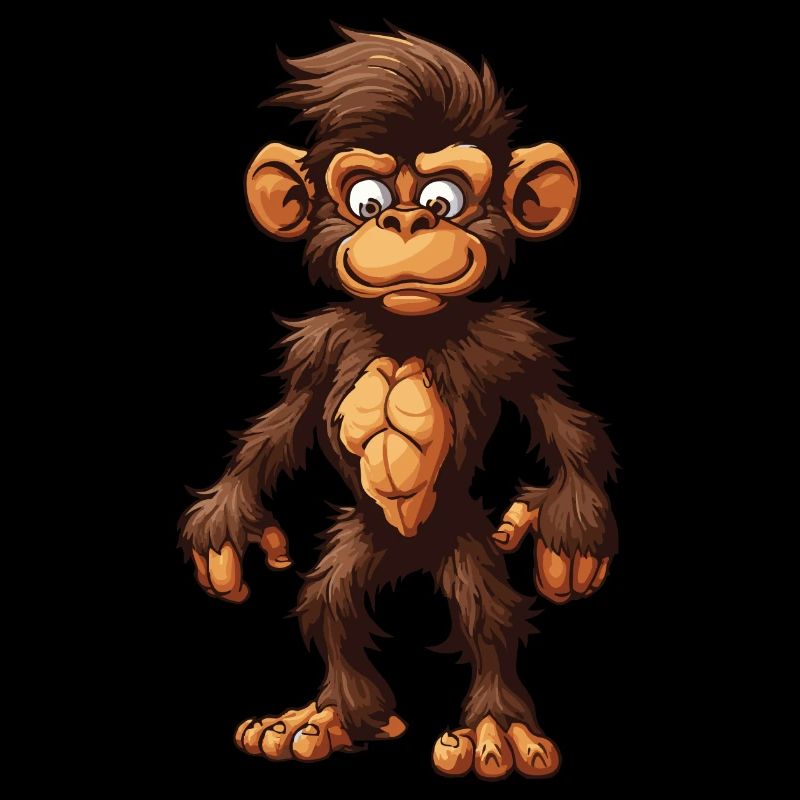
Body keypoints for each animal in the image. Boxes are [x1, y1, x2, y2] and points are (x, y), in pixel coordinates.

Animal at [179, 26, 617, 780]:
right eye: (365, 198)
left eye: (445, 199)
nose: (405, 219)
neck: (408, 325)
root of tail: (409, 558)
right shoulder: (320, 346)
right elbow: (277, 431)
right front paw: (223, 527)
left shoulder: (512, 343)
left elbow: (562, 424)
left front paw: (571, 533)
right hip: (361, 540)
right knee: (331, 604)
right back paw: (330, 717)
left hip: (461, 538)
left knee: (486, 611)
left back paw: (495, 729)